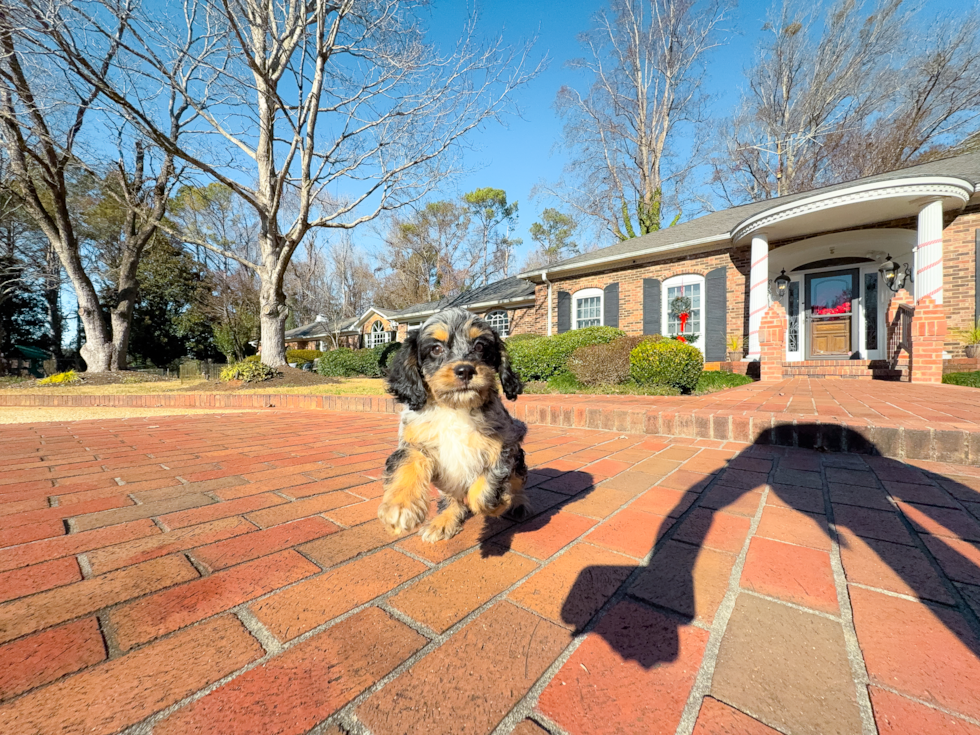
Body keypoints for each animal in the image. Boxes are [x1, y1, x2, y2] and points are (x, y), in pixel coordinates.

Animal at [378, 308, 528, 544]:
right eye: (436, 349)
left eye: (480, 346)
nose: (465, 370)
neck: (455, 408)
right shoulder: (414, 442)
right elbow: (408, 463)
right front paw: (401, 506)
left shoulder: (506, 444)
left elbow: (487, 486)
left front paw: (498, 503)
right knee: (452, 498)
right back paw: (444, 520)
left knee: (518, 480)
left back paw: (519, 503)